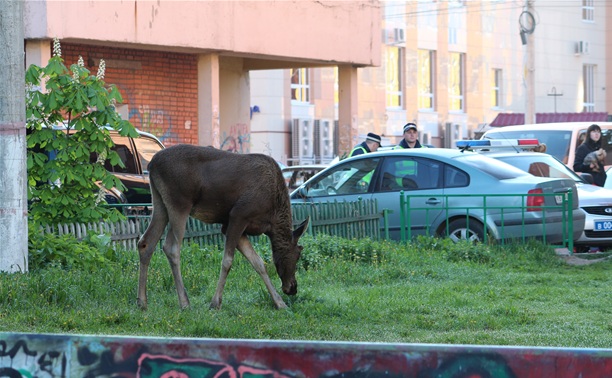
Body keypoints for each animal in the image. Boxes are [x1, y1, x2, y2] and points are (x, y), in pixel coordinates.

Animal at [139, 143, 310, 308]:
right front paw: (215, 303)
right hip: (179, 203)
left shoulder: (232, 225)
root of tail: (152, 164)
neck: (271, 221)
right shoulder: (238, 215)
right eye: (297, 254)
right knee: (171, 248)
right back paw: (184, 302)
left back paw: (142, 302)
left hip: (160, 201)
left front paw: (280, 303)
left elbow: (259, 263)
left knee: (146, 243)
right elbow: (227, 261)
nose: (293, 288)